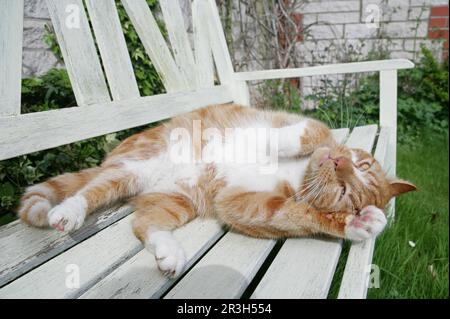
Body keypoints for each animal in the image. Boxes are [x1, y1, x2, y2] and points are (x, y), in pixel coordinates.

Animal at [17, 104, 414, 278]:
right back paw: (68, 212)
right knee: (89, 191)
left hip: (176, 200)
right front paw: (280, 142)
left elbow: (299, 216)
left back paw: (169, 252)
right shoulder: (299, 124)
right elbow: (309, 131)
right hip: (133, 167)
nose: (338, 161)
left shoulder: (239, 204)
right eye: (361, 164)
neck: (299, 173)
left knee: (144, 224)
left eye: (347, 193)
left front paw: (360, 223)